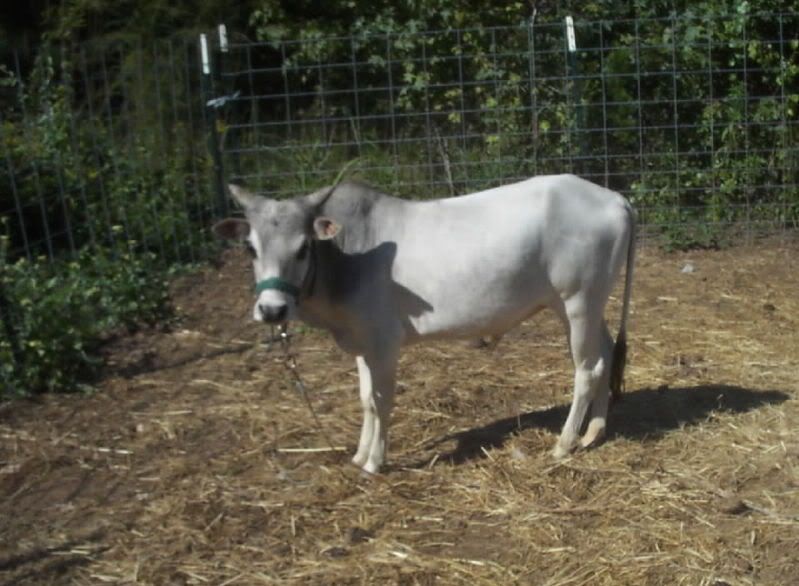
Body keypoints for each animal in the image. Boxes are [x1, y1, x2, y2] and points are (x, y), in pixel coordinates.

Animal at [213, 174, 636, 474]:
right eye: (251, 248)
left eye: (303, 248)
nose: (272, 309)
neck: (345, 256)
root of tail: (615, 198)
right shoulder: (363, 345)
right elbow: (365, 400)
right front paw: (359, 454)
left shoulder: (384, 344)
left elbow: (381, 401)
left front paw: (375, 462)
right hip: (578, 307)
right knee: (605, 353)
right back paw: (593, 431)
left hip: (578, 302)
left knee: (587, 369)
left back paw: (564, 443)